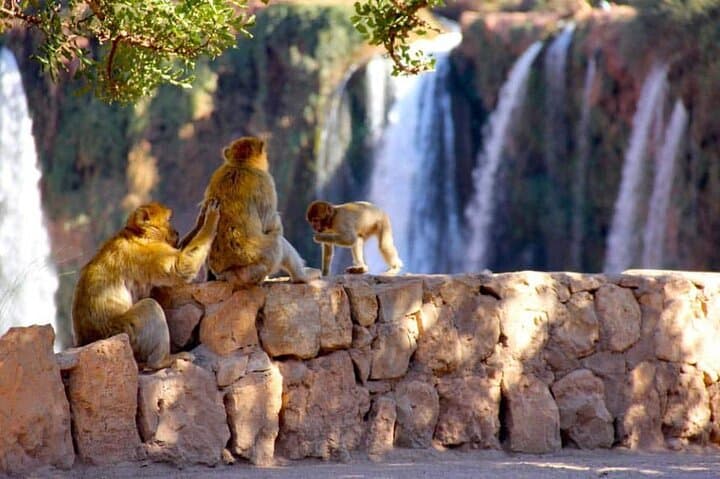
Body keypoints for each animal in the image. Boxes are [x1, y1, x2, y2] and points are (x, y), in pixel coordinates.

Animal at [72, 200, 220, 370]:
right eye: (169, 220)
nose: (176, 232)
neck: (138, 234)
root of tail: (88, 339)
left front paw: (200, 222)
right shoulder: (148, 253)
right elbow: (181, 267)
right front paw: (210, 221)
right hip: (123, 333)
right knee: (149, 307)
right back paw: (161, 361)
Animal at [182, 136, 317, 287]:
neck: (240, 164)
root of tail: (233, 273)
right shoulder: (265, 180)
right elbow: (270, 222)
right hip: (260, 263)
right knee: (278, 241)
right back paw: (301, 276)